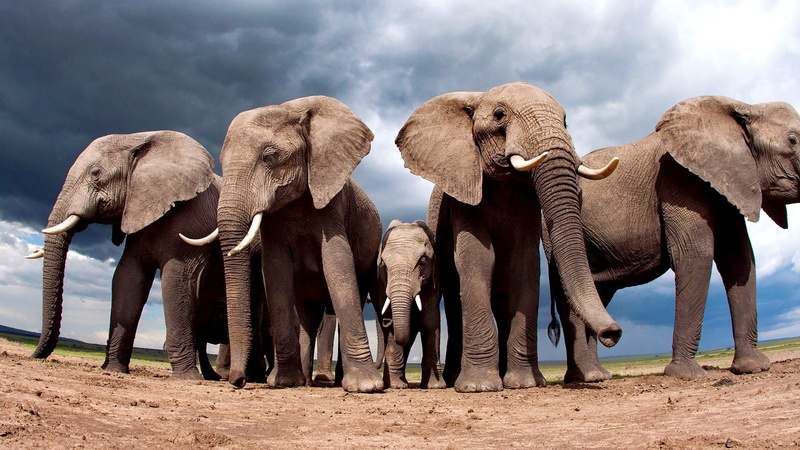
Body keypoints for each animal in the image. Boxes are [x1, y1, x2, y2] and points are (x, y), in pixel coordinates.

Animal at [27, 130, 251, 380]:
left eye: (96, 173)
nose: (35, 355)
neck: (138, 140)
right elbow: (128, 278)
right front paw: (114, 370)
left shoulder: (193, 221)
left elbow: (177, 280)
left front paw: (187, 378)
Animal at [208, 95, 383, 392]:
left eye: (270, 157)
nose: (238, 381)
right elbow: (275, 272)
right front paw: (283, 382)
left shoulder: (333, 200)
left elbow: (338, 263)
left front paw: (366, 387)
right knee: (307, 316)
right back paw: (303, 382)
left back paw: (334, 381)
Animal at [375, 220, 445, 389]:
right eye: (384, 265)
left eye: (423, 261)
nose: (386, 322)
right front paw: (397, 386)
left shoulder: (433, 282)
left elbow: (430, 322)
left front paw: (435, 386)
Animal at [396, 82, 622, 393]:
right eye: (499, 115)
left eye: (565, 121)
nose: (613, 334)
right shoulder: (465, 193)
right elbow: (477, 259)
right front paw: (479, 387)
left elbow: (524, 264)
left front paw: (525, 384)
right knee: (453, 299)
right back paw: (455, 379)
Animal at [545, 95, 800, 382]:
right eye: (792, 140)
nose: (614, 336)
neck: (744, 107)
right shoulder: (679, 181)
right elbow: (695, 255)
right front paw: (687, 375)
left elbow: (739, 259)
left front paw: (753, 367)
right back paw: (589, 376)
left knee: (598, 292)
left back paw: (596, 374)